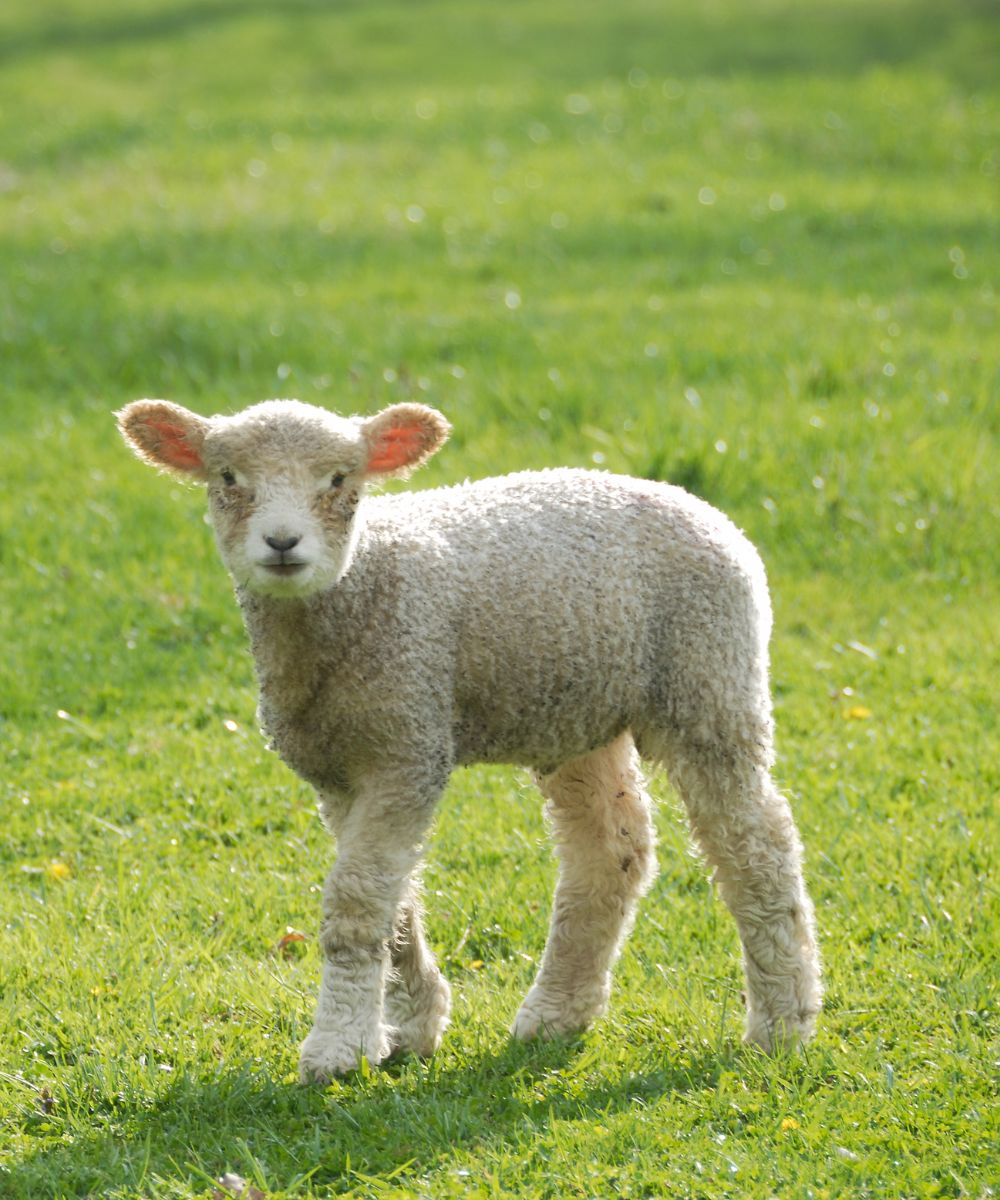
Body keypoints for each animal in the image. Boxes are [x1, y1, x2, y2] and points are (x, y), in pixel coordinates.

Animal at [117, 398, 821, 1084]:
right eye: (228, 478)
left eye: (341, 480)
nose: (282, 543)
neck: (363, 584)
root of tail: (703, 509)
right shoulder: (341, 768)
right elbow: (394, 905)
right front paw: (409, 1027)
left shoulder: (407, 743)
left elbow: (355, 902)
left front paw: (339, 1047)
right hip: (578, 710)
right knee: (611, 850)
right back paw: (557, 1013)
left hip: (709, 678)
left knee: (757, 845)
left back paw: (782, 1022)